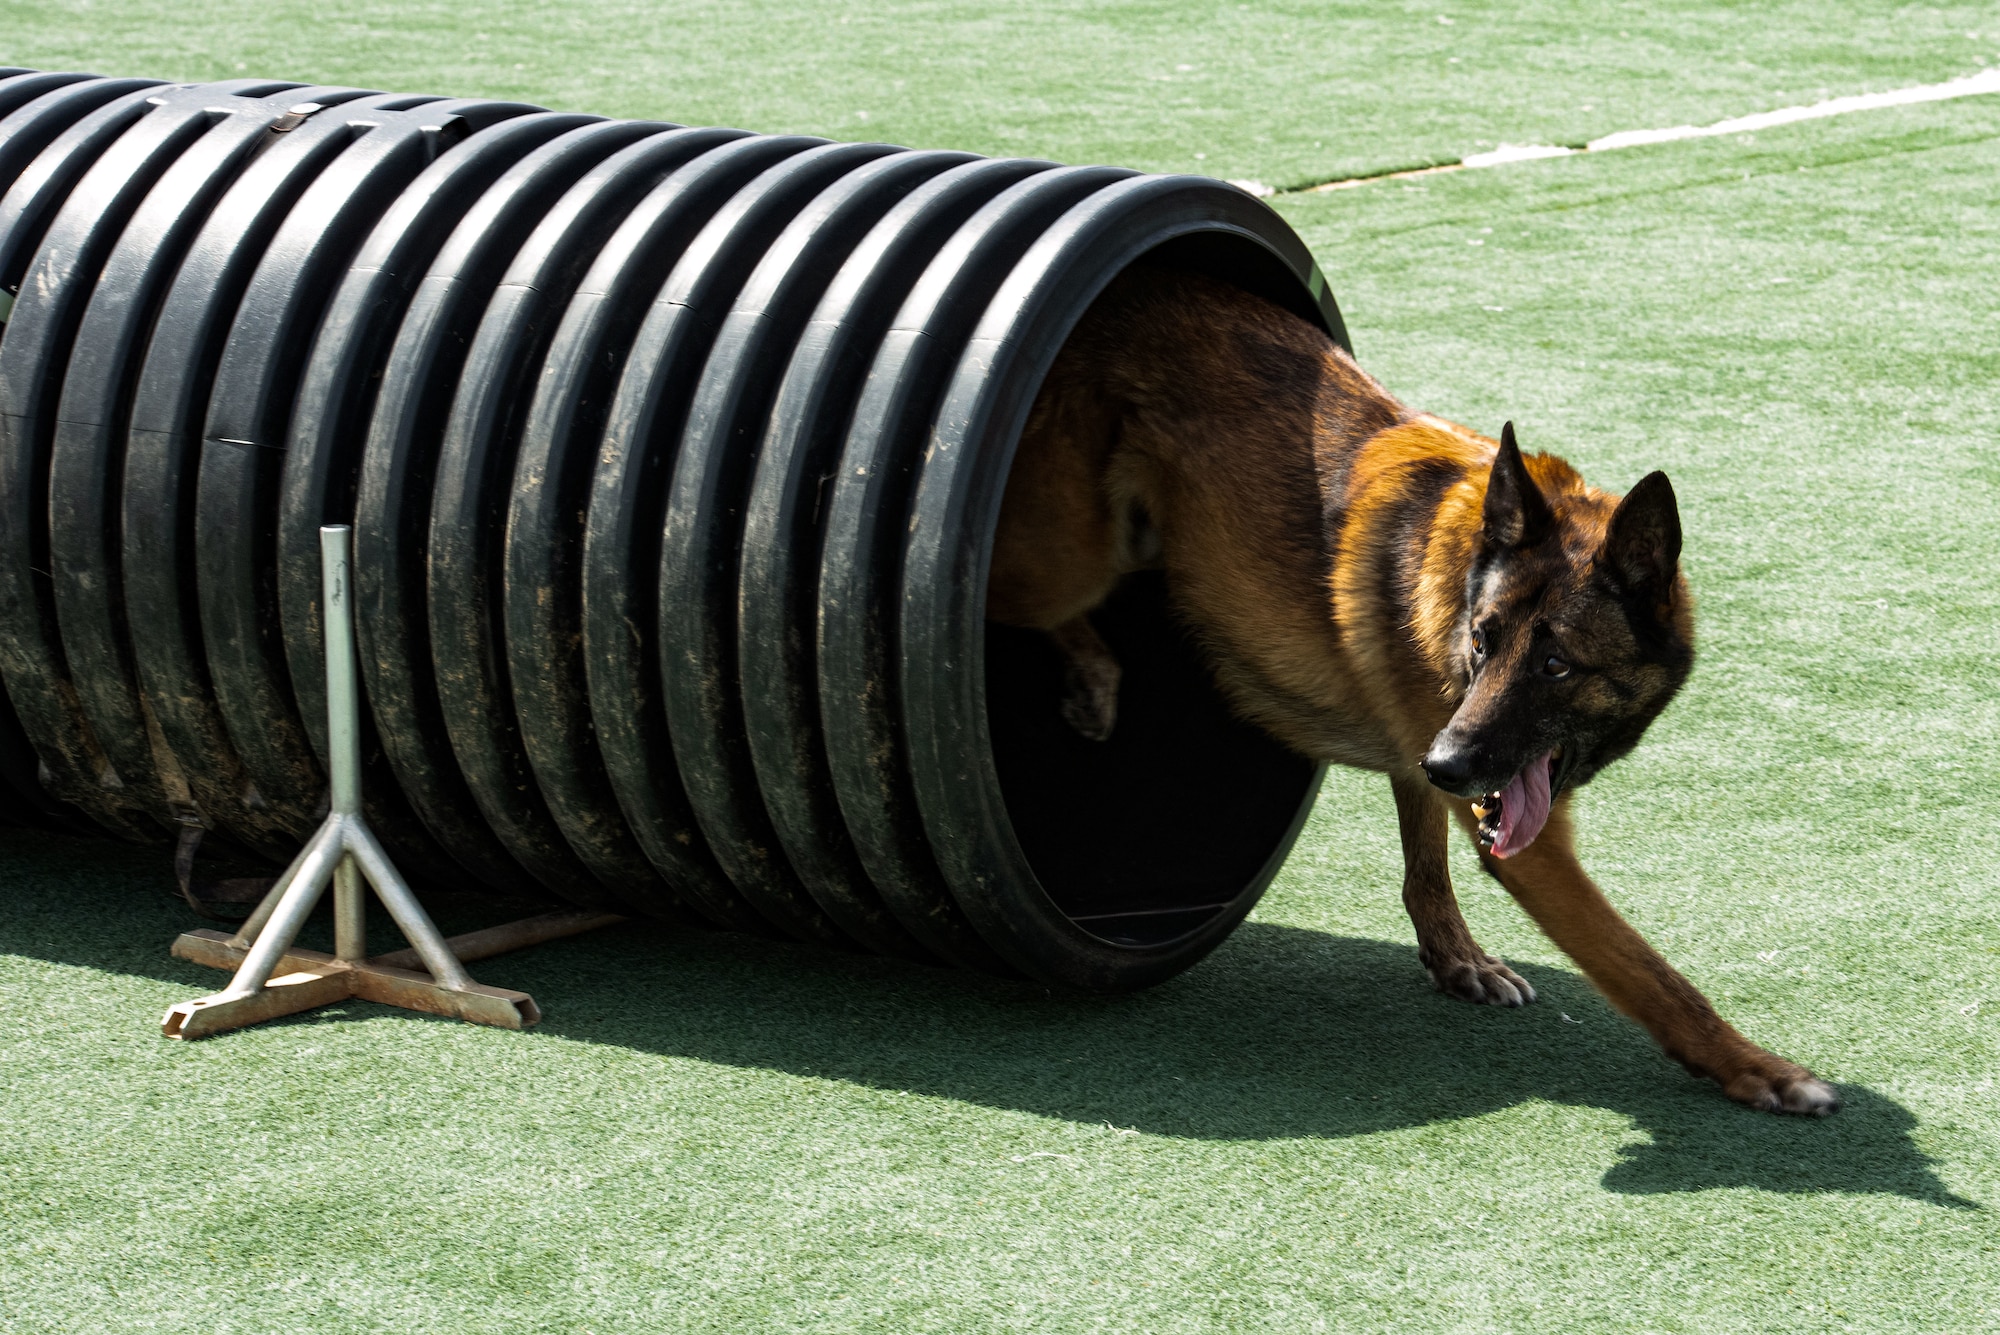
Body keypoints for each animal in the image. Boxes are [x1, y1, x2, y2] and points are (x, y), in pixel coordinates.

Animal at [992, 263, 1832, 1119]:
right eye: (1482, 641)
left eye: (1556, 666)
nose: (1449, 764)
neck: (1463, 564)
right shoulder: (1524, 838)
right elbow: (1647, 971)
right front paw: (1754, 1066)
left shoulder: (1437, 752)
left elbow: (1425, 861)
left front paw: (1457, 959)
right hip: (1068, 560)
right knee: (1002, 598)